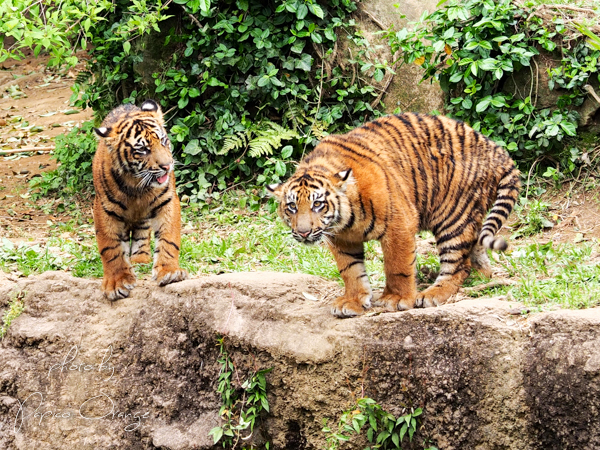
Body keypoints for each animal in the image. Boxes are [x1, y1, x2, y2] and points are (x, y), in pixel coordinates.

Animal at [92, 100, 188, 300]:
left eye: (163, 141)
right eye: (142, 149)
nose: (167, 166)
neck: (137, 185)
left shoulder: (167, 201)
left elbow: (169, 238)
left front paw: (170, 272)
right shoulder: (103, 208)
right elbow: (110, 248)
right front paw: (116, 283)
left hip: (143, 218)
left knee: (142, 234)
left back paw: (140, 259)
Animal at [268, 112, 520, 318]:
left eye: (318, 204)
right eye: (292, 207)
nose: (303, 232)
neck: (345, 221)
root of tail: (495, 150)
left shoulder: (399, 224)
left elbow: (397, 266)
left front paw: (397, 299)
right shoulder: (341, 239)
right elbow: (351, 271)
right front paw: (353, 301)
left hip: (453, 217)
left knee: (458, 264)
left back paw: (432, 294)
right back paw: (479, 274)